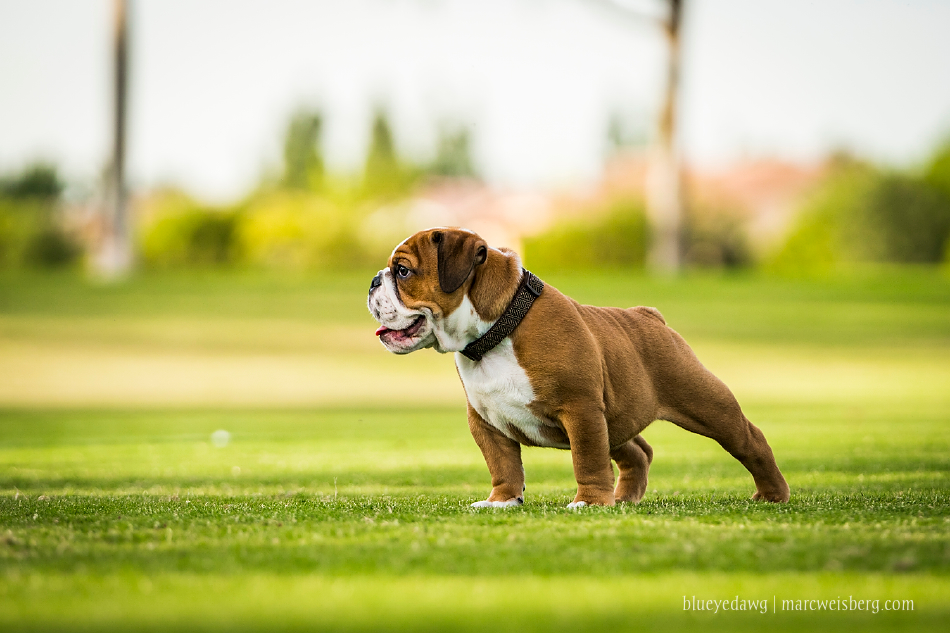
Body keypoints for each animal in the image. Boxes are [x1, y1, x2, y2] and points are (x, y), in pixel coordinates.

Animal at [368, 227, 792, 508]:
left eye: (403, 271)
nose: (373, 281)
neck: (497, 331)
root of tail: (649, 316)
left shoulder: (581, 411)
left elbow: (587, 459)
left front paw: (589, 502)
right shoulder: (485, 421)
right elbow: (503, 465)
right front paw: (502, 501)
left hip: (703, 401)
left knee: (749, 440)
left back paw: (773, 494)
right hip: (616, 416)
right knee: (638, 452)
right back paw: (624, 498)